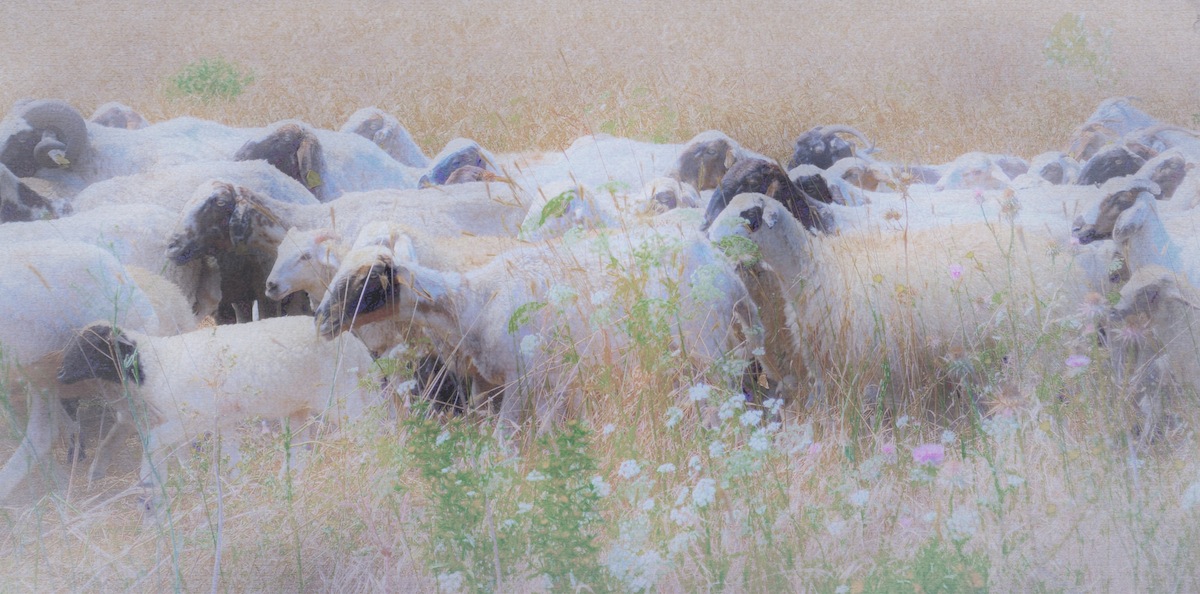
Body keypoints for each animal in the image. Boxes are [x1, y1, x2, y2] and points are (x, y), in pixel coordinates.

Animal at [56, 316, 376, 515]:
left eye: (89, 348)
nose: (58, 374)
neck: (155, 365)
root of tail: (357, 348)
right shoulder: (219, 418)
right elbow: (217, 454)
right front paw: (230, 483)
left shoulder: (193, 417)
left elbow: (155, 441)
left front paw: (150, 481)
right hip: (300, 405)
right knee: (299, 449)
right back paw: (288, 479)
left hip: (340, 395)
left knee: (367, 427)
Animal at [314, 225, 773, 437]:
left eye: (366, 283)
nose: (319, 321)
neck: (474, 300)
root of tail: (726, 271)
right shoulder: (490, 387)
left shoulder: (524, 382)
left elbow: (504, 443)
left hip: (710, 357)